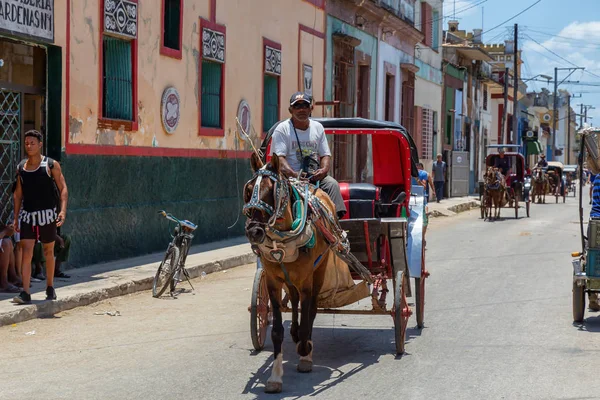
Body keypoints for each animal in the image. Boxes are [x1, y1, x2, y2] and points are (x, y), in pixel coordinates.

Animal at [243, 154, 338, 394]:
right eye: (248, 190)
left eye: (271, 190)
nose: (254, 231)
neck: (282, 238)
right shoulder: (273, 282)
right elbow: (277, 330)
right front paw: (275, 377)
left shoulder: (306, 280)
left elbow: (308, 317)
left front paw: (305, 352)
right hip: (289, 279)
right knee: (294, 301)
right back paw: (294, 331)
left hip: (319, 270)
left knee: (311, 308)